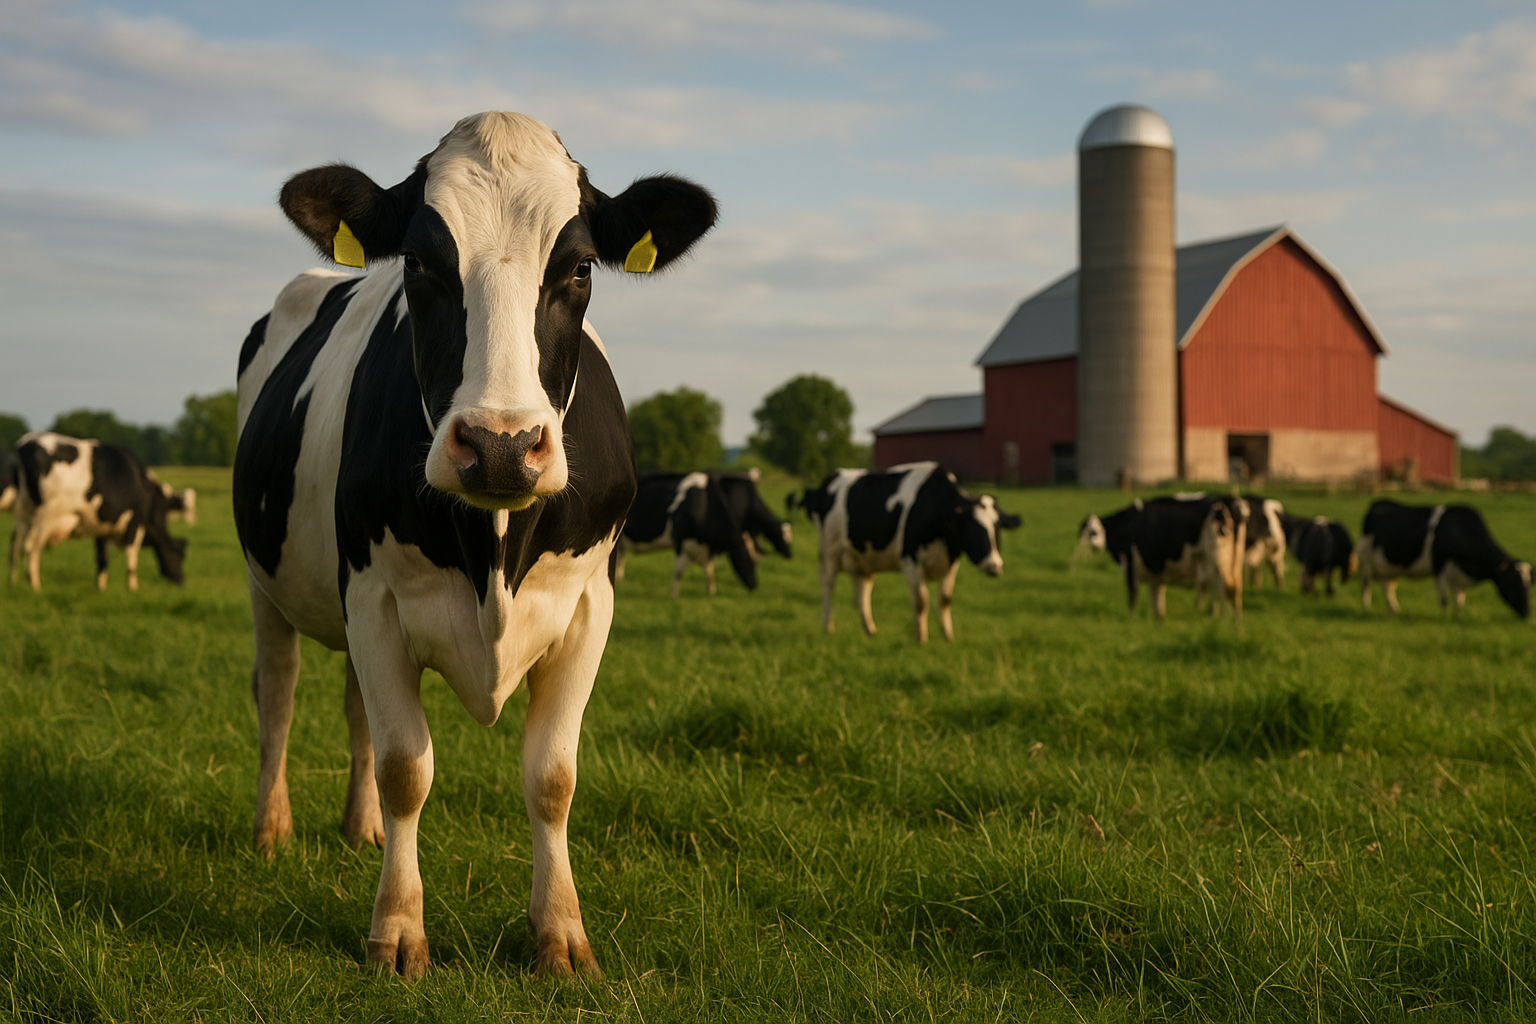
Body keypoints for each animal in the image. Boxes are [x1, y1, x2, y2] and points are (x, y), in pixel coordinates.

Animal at [8, 432, 187, 592]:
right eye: (178, 556)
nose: (181, 581)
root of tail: (25, 443)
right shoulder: (135, 524)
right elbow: (131, 559)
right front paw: (132, 587)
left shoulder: (103, 527)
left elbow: (102, 558)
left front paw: (100, 587)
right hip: (45, 517)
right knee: (30, 547)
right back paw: (35, 587)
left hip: (23, 514)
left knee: (15, 543)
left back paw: (13, 582)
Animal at [232, 111, 715, 979]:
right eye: (419, 262)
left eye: (580, 267)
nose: (499, 446)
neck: (495, 547)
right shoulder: (375, 597)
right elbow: (407, 767)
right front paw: (397, 932)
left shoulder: (589, 604)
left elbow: (552, 776)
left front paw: (561, 935)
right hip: (267, 581)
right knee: (278, 694)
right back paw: (271, 829)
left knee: (353, 707)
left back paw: (361, 829)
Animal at [617, 471, 757, 598]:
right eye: (746, 559)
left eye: (756, 561)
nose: (754, 585)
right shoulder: (680, 541)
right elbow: (679, 572)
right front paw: (674, 596)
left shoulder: (706, 548)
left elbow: (709, 570)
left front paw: (711, 591)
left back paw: (620, 578)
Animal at [799, 462, 1018, 644]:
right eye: (974, 529)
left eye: (997, 529)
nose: (995, 567)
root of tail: (831, 477)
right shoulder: (911, 561)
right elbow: (921, 602)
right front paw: (921, 639)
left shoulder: (951, 564)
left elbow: (944, 600)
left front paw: (948, 637)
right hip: (828, 552)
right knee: (828, 587)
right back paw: (828, 628)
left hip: (863, 559)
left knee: (862, 593)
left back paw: (870, 631)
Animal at [1357, 500, 1530, 618]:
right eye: (1513, 583)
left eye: (1529, 586)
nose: (1526, 613)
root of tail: (1377, 503)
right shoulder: (1439, 566)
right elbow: (1444, 599)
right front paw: (1445, 617)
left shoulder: (1457, 574)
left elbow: (1459, 600)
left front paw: (1457, 617)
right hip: (1366, 563)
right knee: (1366, 586)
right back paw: (1367, 609)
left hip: (1389, 568)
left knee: (1387, 589)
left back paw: (1395, 612)